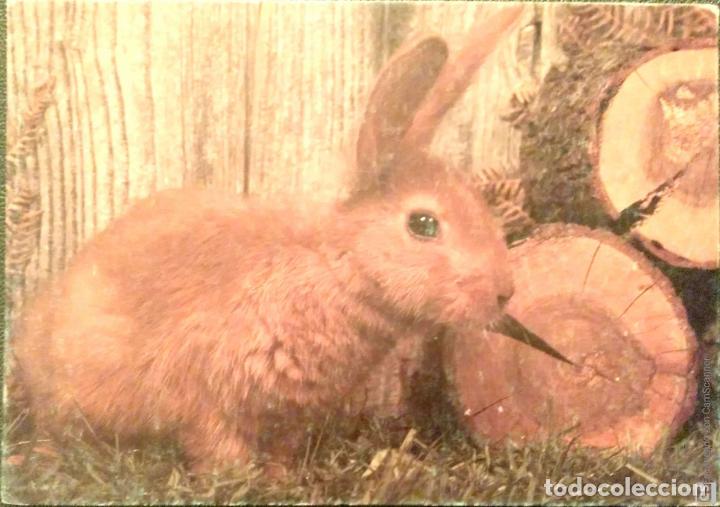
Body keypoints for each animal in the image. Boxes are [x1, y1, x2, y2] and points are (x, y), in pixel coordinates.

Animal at [12, 7, 523, 474]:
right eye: (423, 224)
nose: (504, 292)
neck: (332, 268)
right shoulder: (208, 400)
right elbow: (221, 452)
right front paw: (241, 481)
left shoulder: (286, 415)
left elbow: (280, 452)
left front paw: (282, 482)